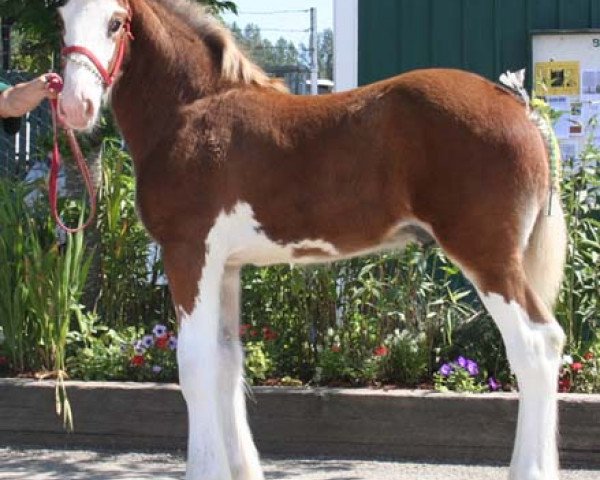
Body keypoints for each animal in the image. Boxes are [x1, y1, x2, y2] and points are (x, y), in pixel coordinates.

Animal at [56, 0, 568, 480]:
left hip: (487, 256)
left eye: (115, 23)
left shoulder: (188, 253)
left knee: (536, 345)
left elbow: (195, 364)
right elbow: (227, 361)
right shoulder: (226, 266)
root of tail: (518, 108)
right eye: (62, 20)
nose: (75, 106)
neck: (189, 110)